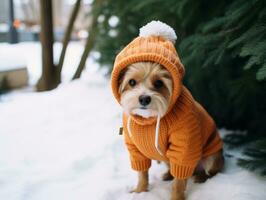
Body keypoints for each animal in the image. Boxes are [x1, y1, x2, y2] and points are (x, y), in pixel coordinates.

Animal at [110, 20, 224, 200]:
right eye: (132, 82)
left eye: (159, 83)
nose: (144, 98)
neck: (149, 120)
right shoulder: (135, 150)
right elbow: (142, 174)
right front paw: (140, 191)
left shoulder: (184, 148)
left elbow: (179, 181)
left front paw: (176, 197)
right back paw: (168, 175)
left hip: (212, 157)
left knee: (210, 172)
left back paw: (200, 177)